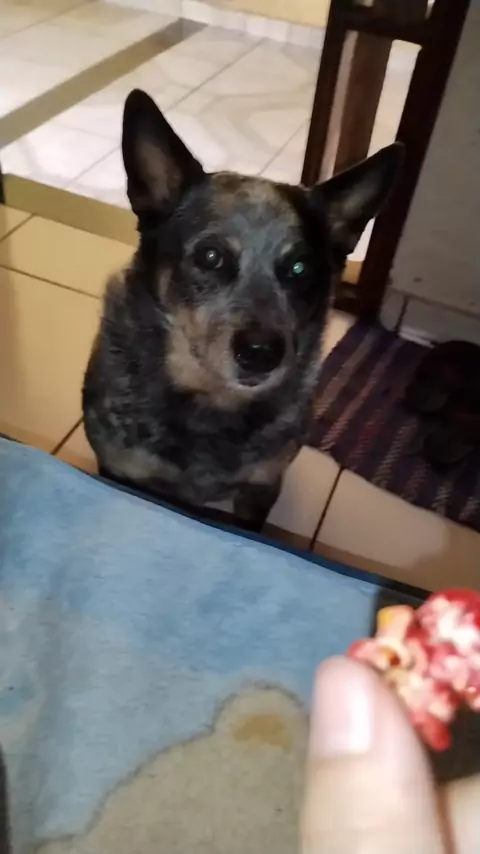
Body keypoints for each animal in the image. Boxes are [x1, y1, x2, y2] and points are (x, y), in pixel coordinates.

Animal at [83, 89, 402, 529]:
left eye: (300, 268)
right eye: (210, 256)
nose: (261, 352)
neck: (210, 404)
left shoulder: (260, 487)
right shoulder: (121, 470)